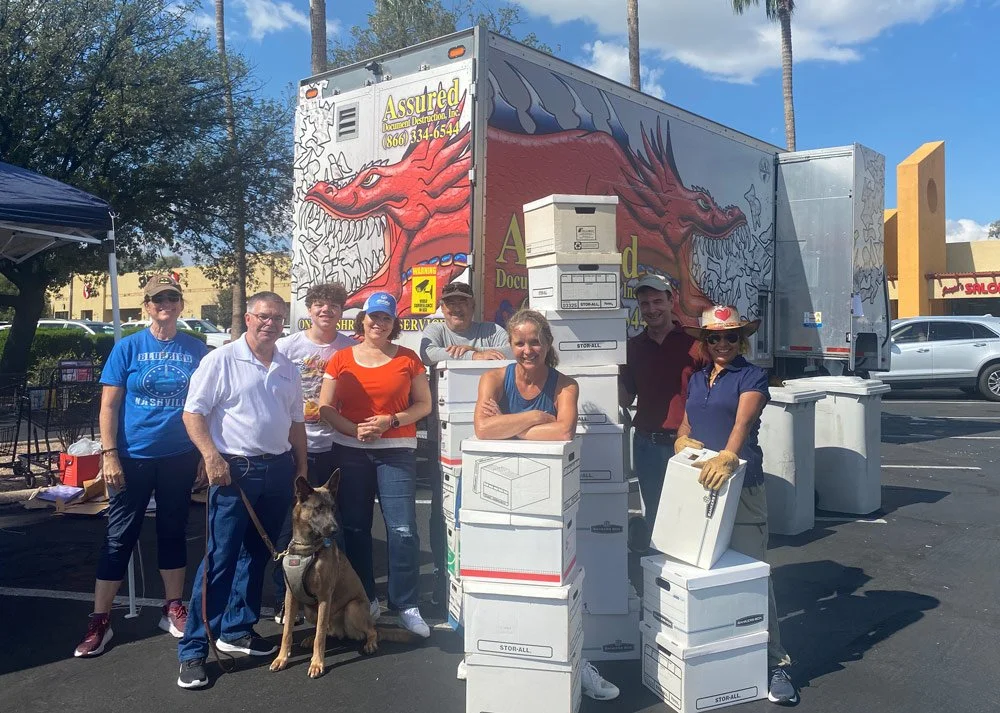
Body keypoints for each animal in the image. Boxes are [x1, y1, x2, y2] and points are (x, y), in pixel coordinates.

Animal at [269, 470, 417, 678]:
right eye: (318, 509)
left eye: (333, 508)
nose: (335, 529)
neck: (306, 549)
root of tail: (342, 631)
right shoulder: (291, 596)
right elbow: (287, 631)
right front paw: (281, 658)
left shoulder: (324, 596)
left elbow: (320, 636)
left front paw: (317, 663)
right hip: (310, 611)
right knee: (326, 630)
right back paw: (310, 638)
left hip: (352, 608)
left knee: (370, 631)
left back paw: (370, 643)